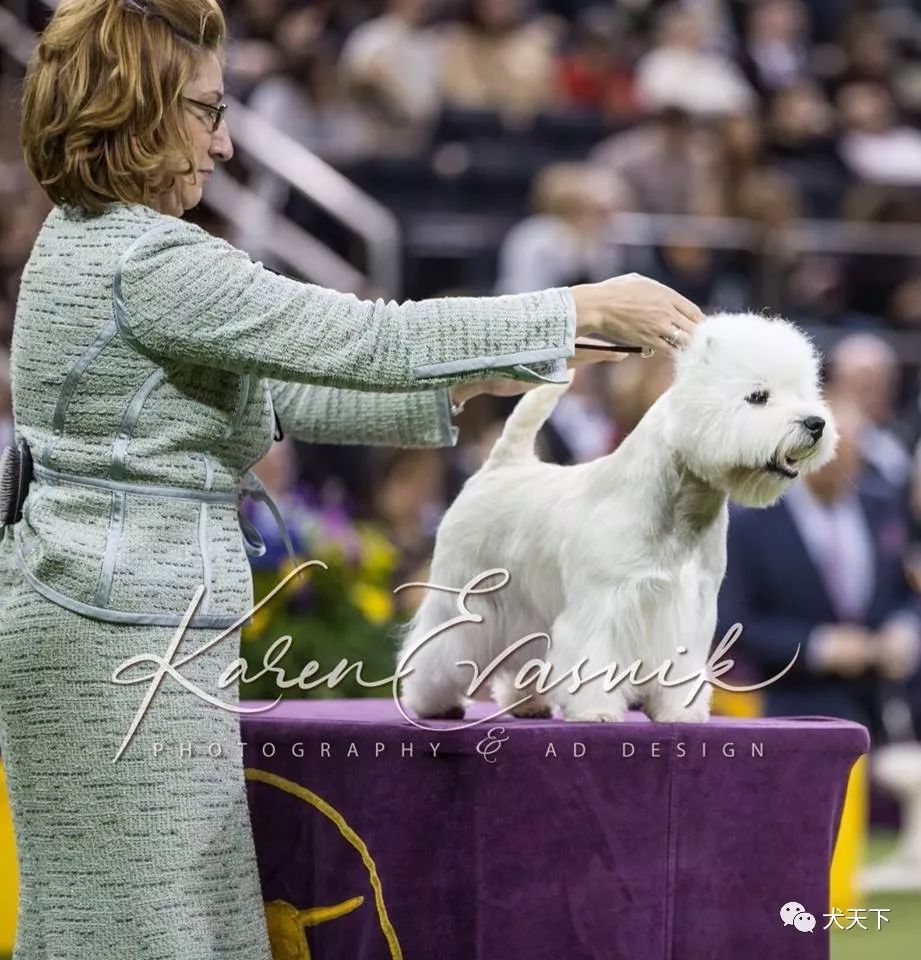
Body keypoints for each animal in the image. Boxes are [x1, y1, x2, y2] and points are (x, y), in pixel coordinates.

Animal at [398, 314, 836, 720]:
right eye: (758, 396)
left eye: (804, 392)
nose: (816, 423)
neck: (682, 507)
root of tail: (502, 465)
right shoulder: (603, 603)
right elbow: (594, 658)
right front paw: (595, 711)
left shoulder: (692, 607)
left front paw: (680, 712)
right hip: (463, 590)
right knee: (438, 645)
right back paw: (433, 702)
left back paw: (529, 703)